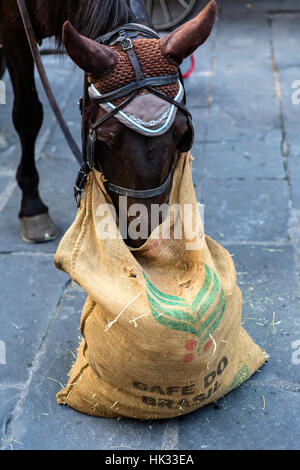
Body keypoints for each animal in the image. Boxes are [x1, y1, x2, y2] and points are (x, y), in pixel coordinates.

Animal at [0, 0, 216, 248]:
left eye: (182, 135)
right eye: (103, 143)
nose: (144, 236)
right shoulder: (13, 28)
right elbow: (27, 114)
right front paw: (32, 207)